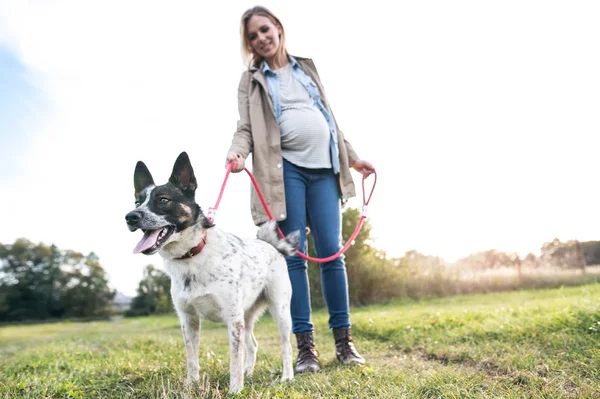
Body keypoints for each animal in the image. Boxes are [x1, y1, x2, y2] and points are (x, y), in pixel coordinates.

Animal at [125, 152, 298, 394]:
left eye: (163, 200)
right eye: (137, 202)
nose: (130, 216)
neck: (192, 255)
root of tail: (270, 245)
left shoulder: (233, 320)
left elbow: (234, 360)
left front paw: (235, 390)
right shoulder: (188, 319)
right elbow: (192, 359)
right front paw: (192, 385)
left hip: (279, 311)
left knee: (286, 345)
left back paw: (287, 377)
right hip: (247, 315)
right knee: (253, 345)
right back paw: (249, 373)